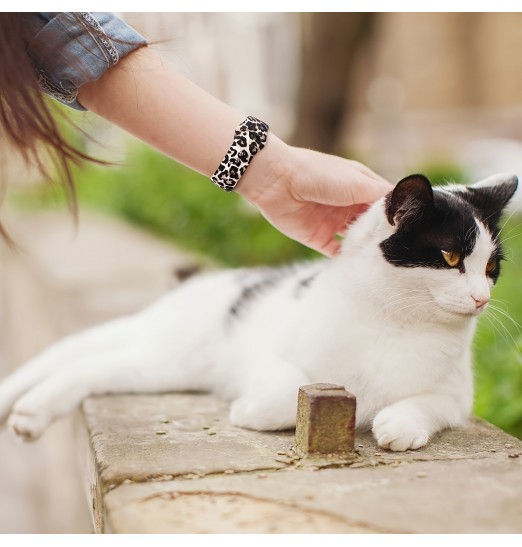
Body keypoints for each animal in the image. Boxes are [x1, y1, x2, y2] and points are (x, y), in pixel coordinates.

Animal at [0, 173, 512, 452]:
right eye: (450, 257)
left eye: (491, 267)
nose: (480, 299)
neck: (396, 325)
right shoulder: (273, 358)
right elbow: (287, 389)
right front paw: (247, 411)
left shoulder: (456, 397)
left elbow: (428, 404)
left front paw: (400, 424)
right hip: (167, 352)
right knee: (78, 359)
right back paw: (29, 409)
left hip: (161, 367)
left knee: (90, 366)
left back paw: (29, 412)